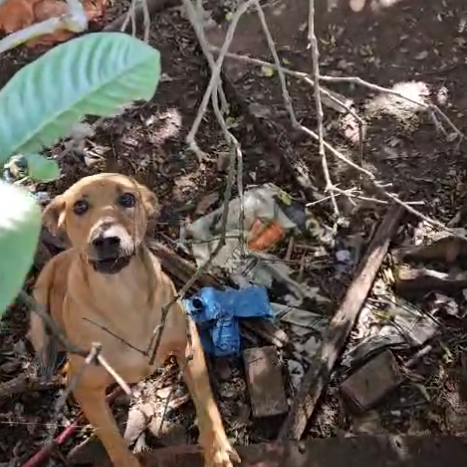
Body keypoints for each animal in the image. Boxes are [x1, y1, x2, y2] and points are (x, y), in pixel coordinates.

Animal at [28, 174, 241, 467]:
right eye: (80, 206)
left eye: (127, 199)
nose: (106, 240)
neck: (123, 296)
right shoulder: (87, 389)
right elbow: (112, 439)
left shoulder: (188, 342)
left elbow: (205, 401)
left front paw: (217, 450)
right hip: (38, 306)